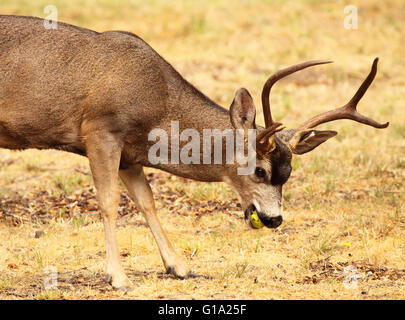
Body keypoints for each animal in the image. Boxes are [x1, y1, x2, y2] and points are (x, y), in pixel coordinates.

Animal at [0, 15, 388, 290]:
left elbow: (147, 202)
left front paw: (180, 267)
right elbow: (109, 203)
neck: (156, 104)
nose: (275, 219)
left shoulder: (130, 155)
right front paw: (119, 278)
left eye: (289, 173)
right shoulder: (101, 130)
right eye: (259, 170)